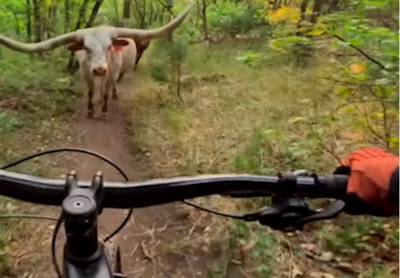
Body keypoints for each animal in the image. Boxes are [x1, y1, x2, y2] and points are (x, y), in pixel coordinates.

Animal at [0, 3, 192, 118]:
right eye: (86, 48)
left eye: (109, 46)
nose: (99, 69)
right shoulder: (87, 73)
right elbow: (91, 92)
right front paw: (91, 110)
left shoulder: (112, 73)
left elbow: (106, 92)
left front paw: (104, 111)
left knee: (111, 86)